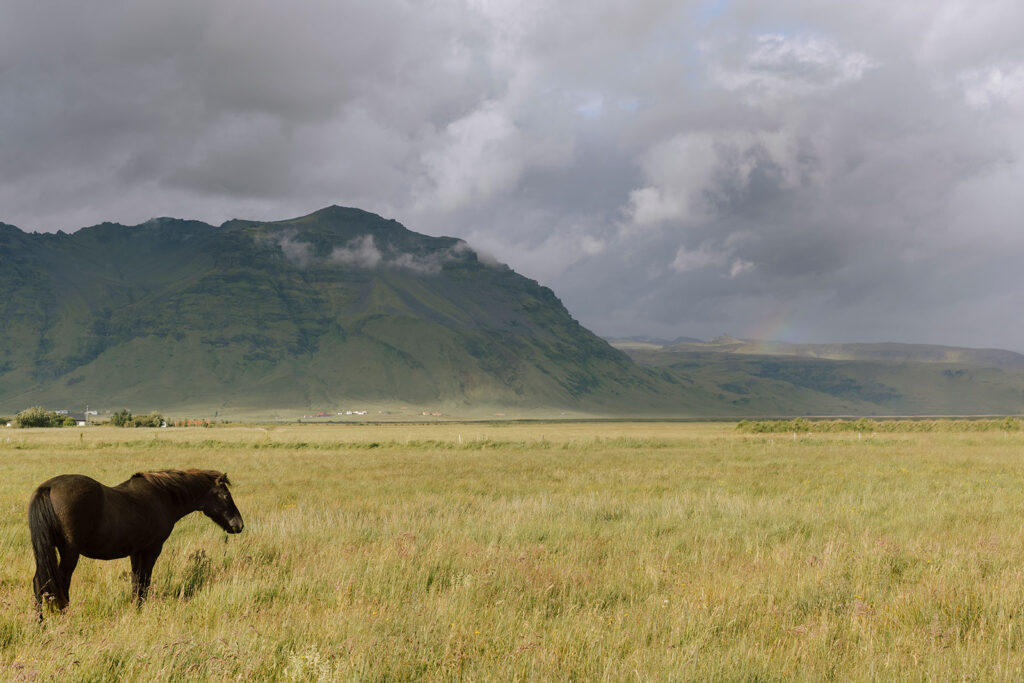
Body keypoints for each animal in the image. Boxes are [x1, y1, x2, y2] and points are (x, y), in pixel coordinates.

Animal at [29, 471, 242, 614]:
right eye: (226, 495)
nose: (239, 525)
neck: (163, 496)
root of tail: (48, 488)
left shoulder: (135, 551)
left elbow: (135, 581)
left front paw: (135, 607)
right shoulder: (151, 550)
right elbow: (144, 581)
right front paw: (140, 608)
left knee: (40, 582)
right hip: (69, 554)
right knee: (60, 583)